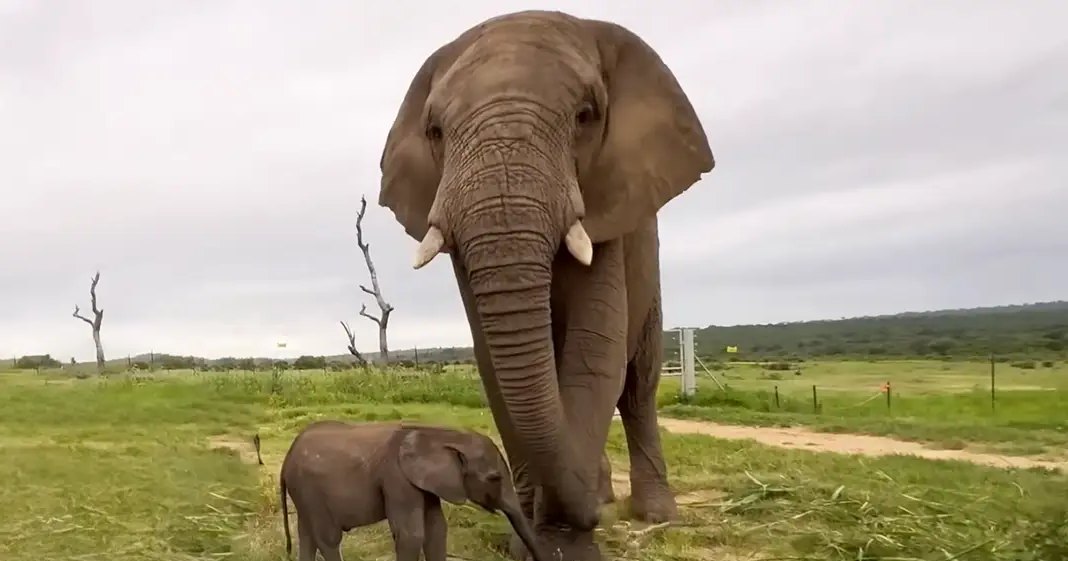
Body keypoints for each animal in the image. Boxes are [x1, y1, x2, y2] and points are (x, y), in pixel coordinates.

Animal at [278, 420, 550, 561]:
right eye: (494, 478)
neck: (438, 433)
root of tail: (287, 457)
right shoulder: (397, 478)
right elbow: (412, 534)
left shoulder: (425, 482)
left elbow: (437, 531)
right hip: (309, 489)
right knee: (328, 538)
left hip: (303, 491)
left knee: (307, 535)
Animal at [377, 9, 714, 561]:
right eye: (435, 131)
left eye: (585, 116)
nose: (590, 517)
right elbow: (494, 366)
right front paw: (531, 536)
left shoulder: (610, 202)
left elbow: (594, 351)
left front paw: (562, 545)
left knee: (637, 384)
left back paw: (653, 515)